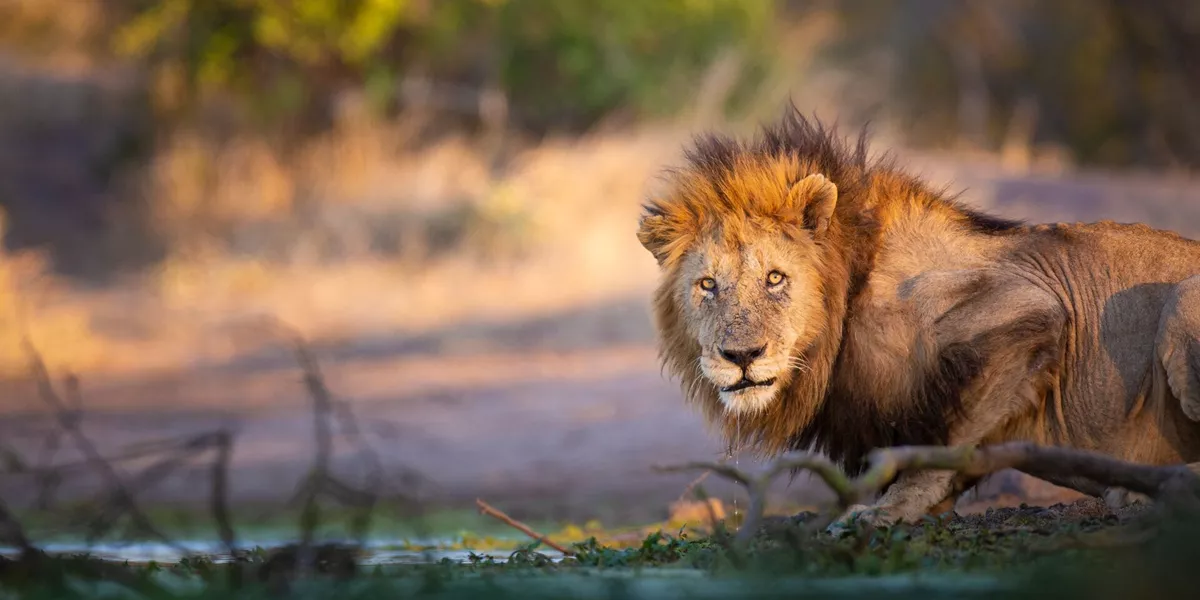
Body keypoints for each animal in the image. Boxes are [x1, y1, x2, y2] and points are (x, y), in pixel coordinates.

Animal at [636, 106, 1200, 528]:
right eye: (707, 285)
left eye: (775, 278)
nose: (742, 356)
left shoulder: (1031, 307)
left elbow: (943, 440)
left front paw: (889, 509)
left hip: (1181, 302)